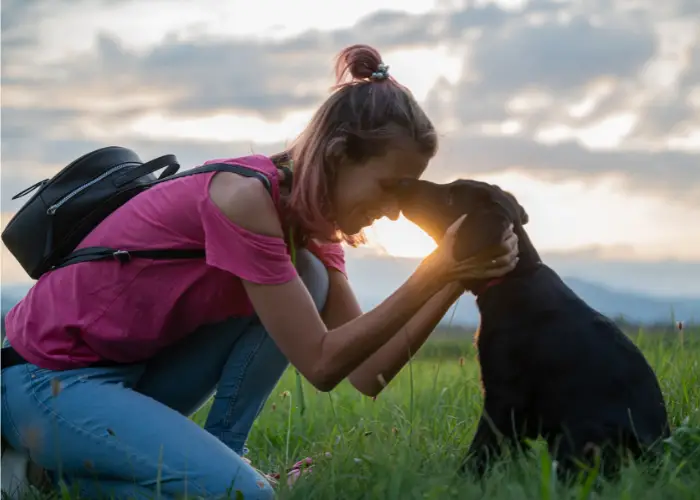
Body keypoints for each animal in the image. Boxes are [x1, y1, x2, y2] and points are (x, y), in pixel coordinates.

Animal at [392, 178, 668, 478]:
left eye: (451, 196)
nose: (401, 183)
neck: (512, 278)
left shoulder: (503, 395)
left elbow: (480, 449)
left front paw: (461, 480)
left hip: (579, 433)